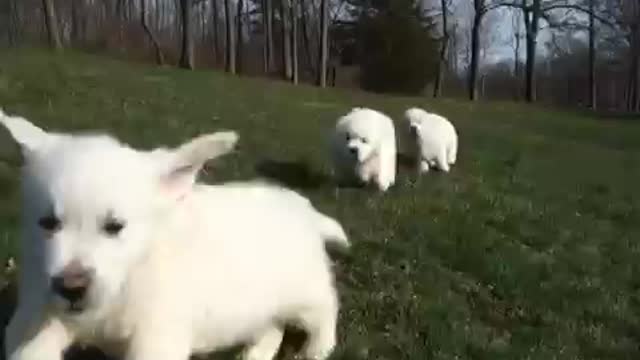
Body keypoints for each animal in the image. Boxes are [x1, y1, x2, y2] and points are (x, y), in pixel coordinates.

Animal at [1, 109, 350, 360]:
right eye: (48, 223)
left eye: (114, 226)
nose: (72, 288)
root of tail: (304, 209)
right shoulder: (41, 307)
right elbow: (28, 344)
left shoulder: (157, 333)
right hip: (262, 303)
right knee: (271, 328)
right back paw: (255, 354)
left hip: (303, 291)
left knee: (326, 308)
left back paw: (317, 349)